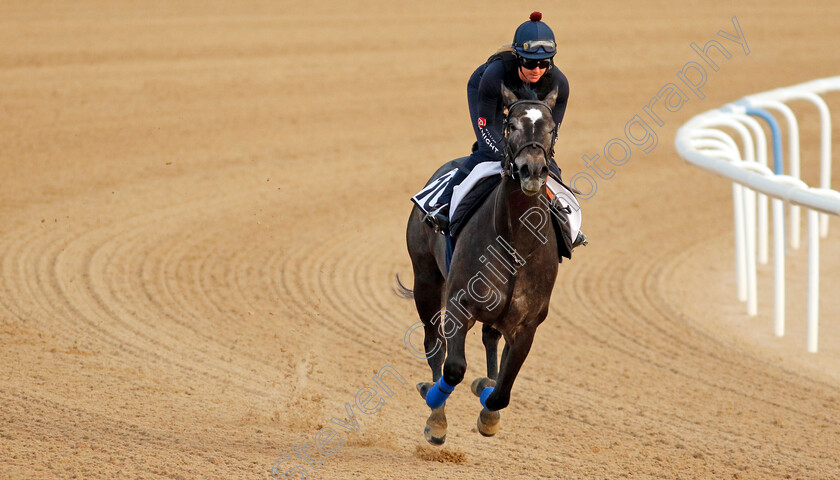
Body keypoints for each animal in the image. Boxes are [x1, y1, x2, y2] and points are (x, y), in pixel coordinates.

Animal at [404, 83, 560, 446]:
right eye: (510, 125)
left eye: (550, 128)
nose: (533, 170)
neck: (516, 242)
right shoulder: (460, 303)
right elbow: (454, 369)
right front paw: (436, 415)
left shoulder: (527, 324)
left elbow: (502, 391)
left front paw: (489, 408)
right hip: (425, 280)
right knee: (434, 345)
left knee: (491, 339)